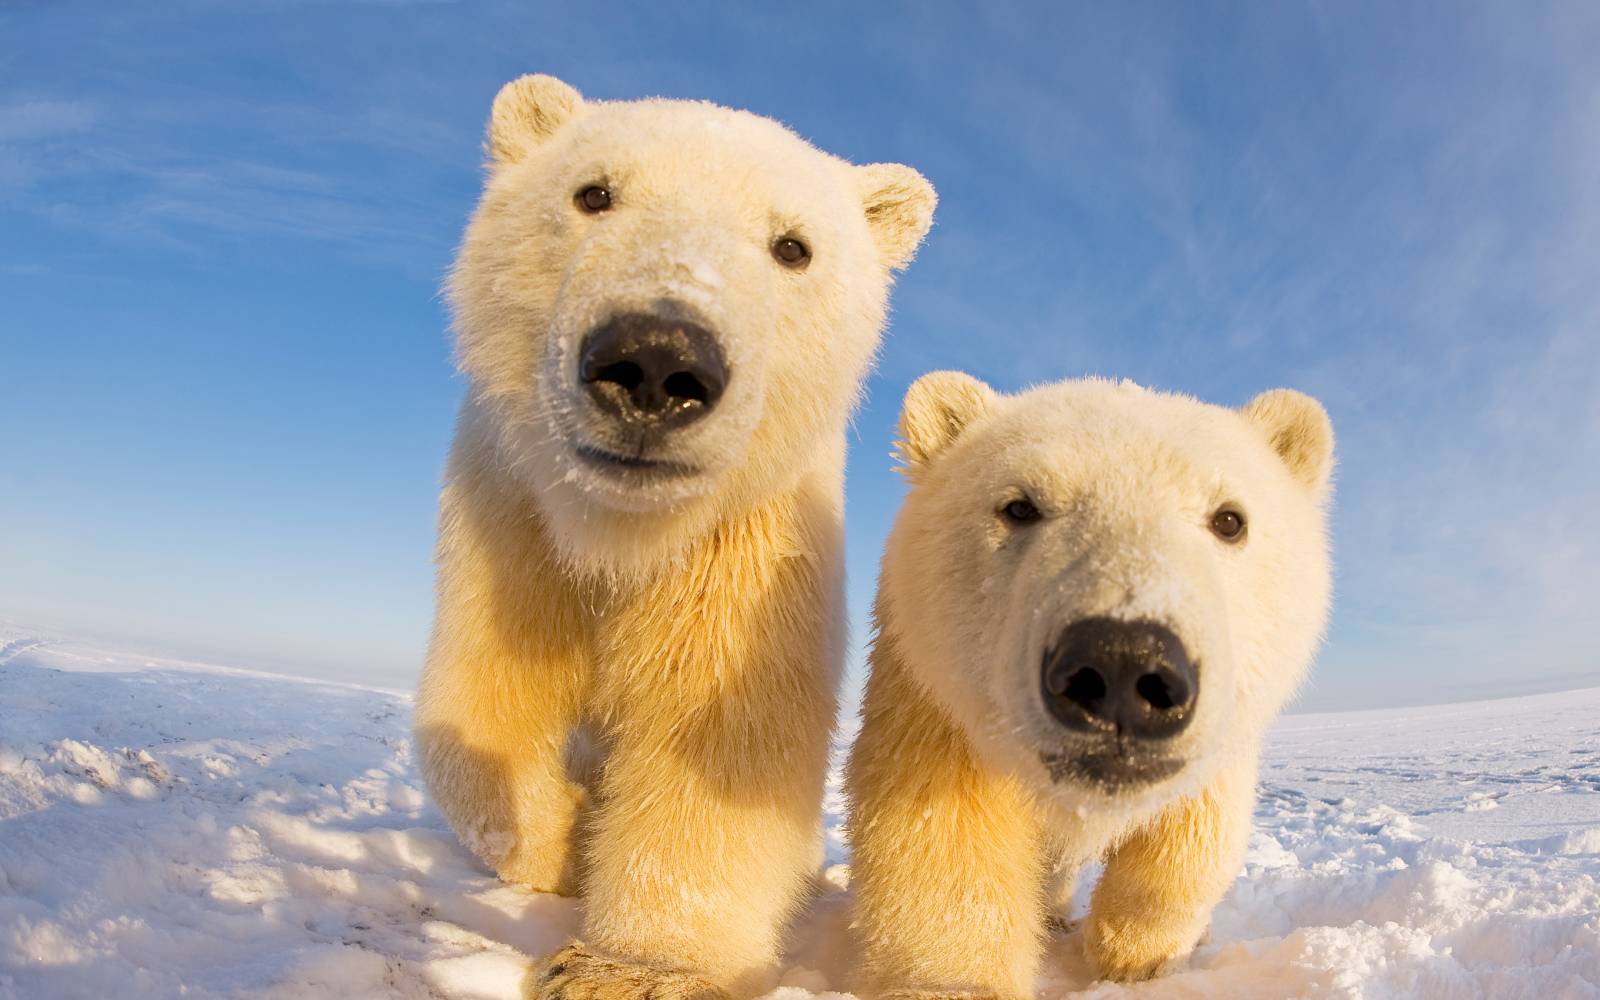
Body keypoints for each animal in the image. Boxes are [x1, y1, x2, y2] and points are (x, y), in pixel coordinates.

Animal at [412, 76, 934, 998]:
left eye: (793, 247)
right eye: (593, 193)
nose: (656, 361)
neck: (621, 533)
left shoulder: (745, 552)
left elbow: (716, 738)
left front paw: (629, 968)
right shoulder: (512, 520)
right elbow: (481, 703)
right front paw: (570, 839)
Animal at [851, 371, 1337, 992]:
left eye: (1230, 519)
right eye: (1019, 506)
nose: (1123, 665)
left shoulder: (1223, 728)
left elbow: (1193, 834)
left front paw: (1136, 955)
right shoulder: (931, 697)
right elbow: (940, 836)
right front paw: (952, 984)